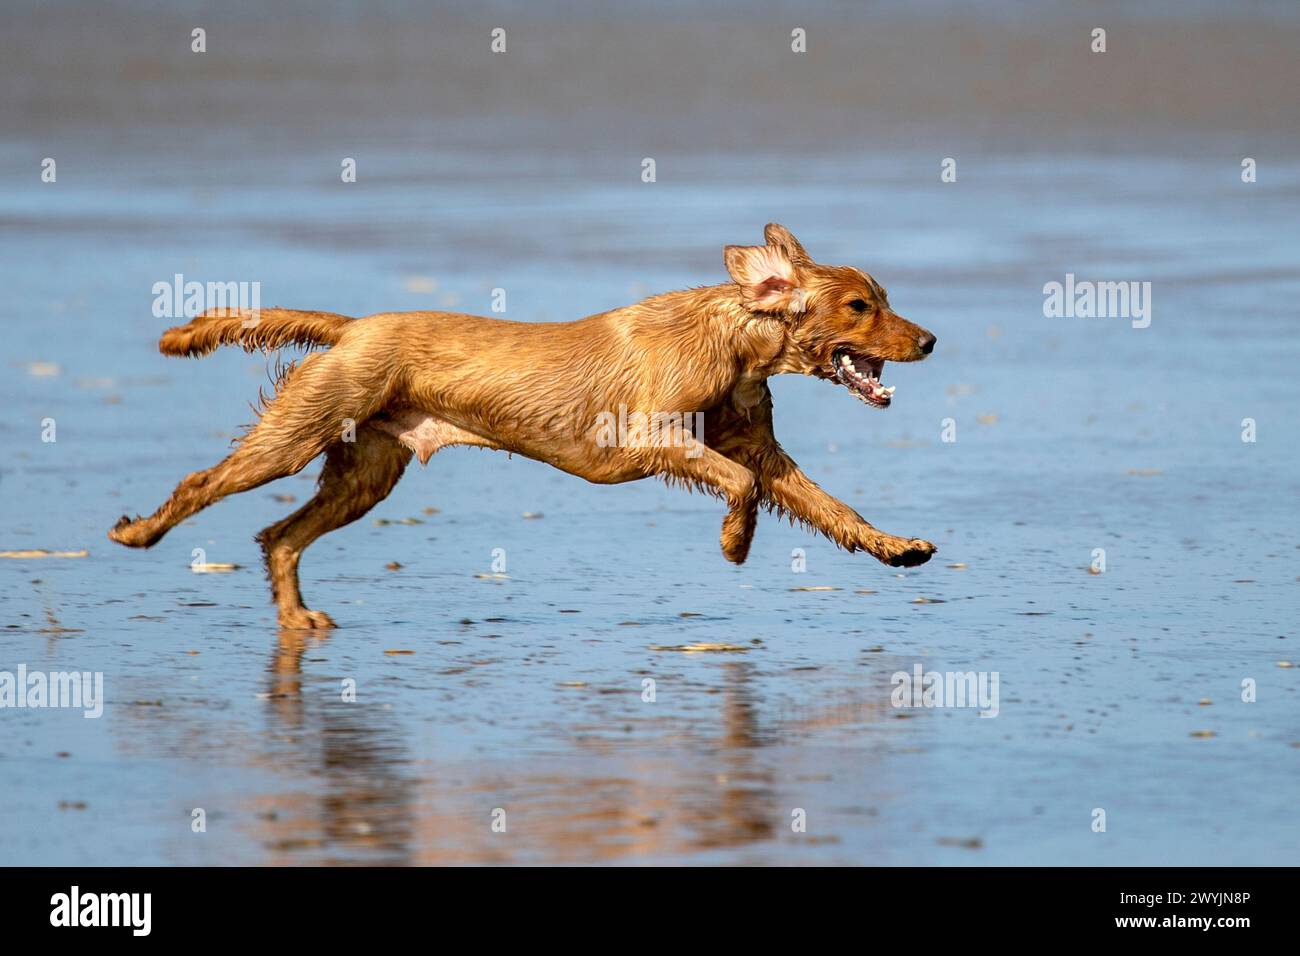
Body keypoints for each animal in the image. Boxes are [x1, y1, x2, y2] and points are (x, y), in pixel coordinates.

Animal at [109, 223, 935, 629]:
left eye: (884, 298)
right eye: (860, 306)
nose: (929, 341)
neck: (735, 342)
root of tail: (353, 327)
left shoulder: (760, 449)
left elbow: (829, 506)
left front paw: (898, 547)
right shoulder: (648, 438)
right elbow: (739, 486)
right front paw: (735, 542)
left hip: (365, 474)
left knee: (279, 537)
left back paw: (295, 620)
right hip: (294, 437)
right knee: (202, 483)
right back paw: (138, 532)